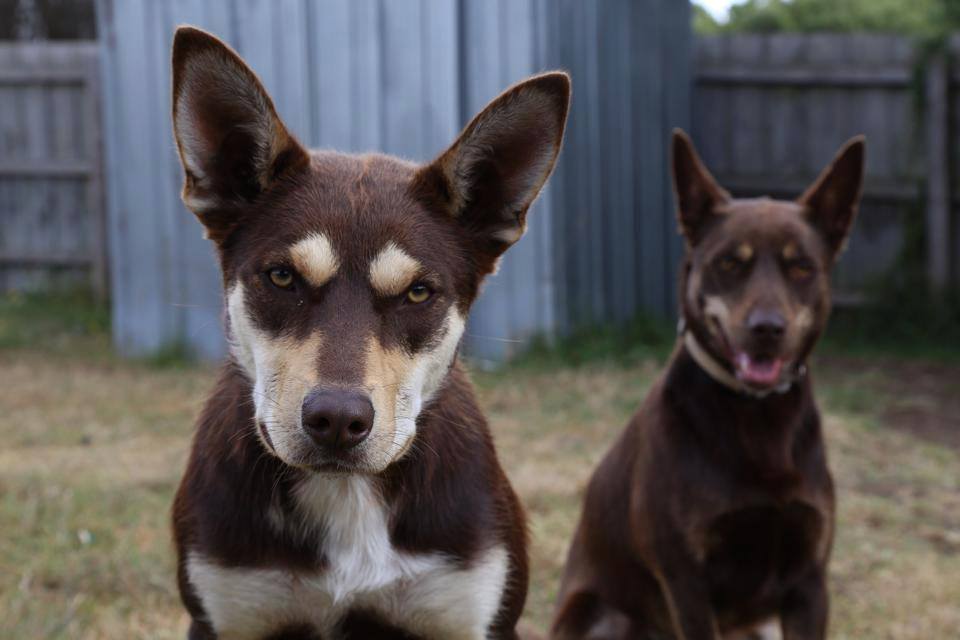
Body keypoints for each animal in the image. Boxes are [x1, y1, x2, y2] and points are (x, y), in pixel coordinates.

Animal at [170, 26, 568, 640]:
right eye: (281, 276)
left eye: (419, 293)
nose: (337, 420)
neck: (347, 495)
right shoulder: (225, 611)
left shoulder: (471, 610)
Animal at [552, 131, 868, 640]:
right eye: (730, 263)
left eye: (801, 267)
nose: (767, 328)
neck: (759, 416)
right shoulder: (686, 580)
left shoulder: (810, 580)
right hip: (604, 616)